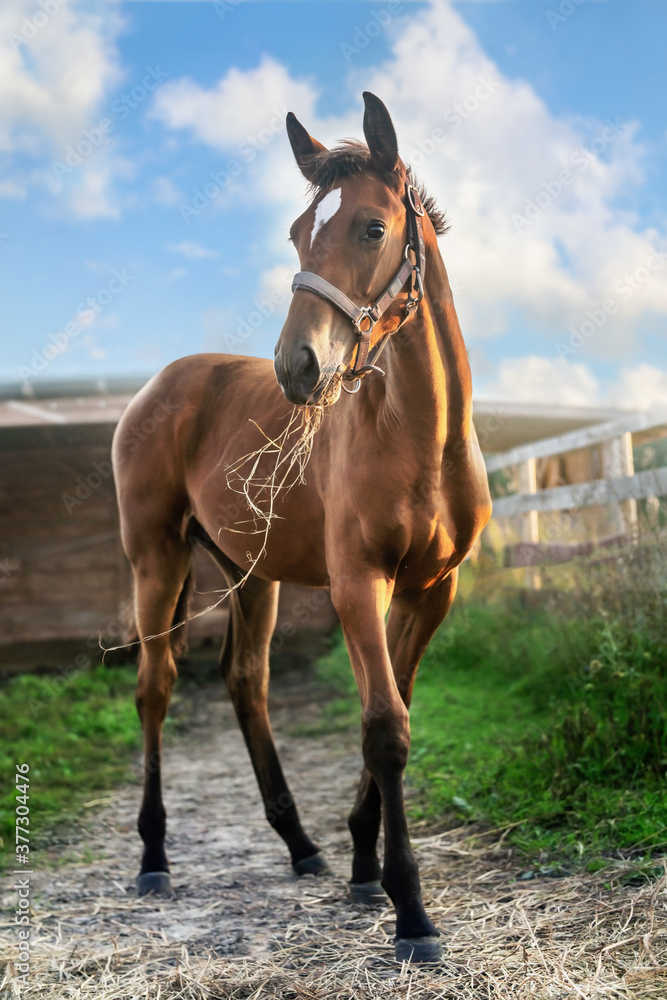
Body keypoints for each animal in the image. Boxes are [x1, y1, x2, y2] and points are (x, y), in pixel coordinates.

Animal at [112, 91, 491, 963]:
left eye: (372, 228)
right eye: (294, 231)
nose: (297, 368)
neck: (420, 435)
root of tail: (162, 383)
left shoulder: (432, 590)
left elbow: (394, 711)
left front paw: (360, 868)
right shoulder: (358, 583)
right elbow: (385, 729)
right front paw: (410, 912)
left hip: (252, 576)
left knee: (244, 681)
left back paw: (302, 847)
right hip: (156, 559)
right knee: (156, 687)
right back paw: (154, 859)